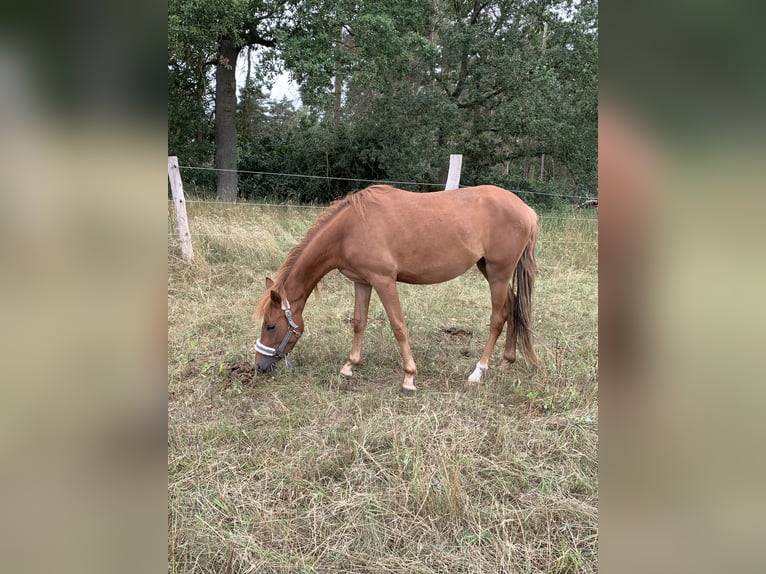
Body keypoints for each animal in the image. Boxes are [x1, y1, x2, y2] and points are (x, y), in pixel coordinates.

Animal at [254, 186, 540, 396]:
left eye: (270, 325)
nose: (259, 366)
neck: (351, 228)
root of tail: (526, 210)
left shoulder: (384, 281)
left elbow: (398, 326)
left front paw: (409, 378)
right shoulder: (363, 282)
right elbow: (359, 322)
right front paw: (349, 366)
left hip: (498, 273)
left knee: (497, 318)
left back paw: (479, 371)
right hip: (490, 270)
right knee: (513, 308)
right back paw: (507, 361)